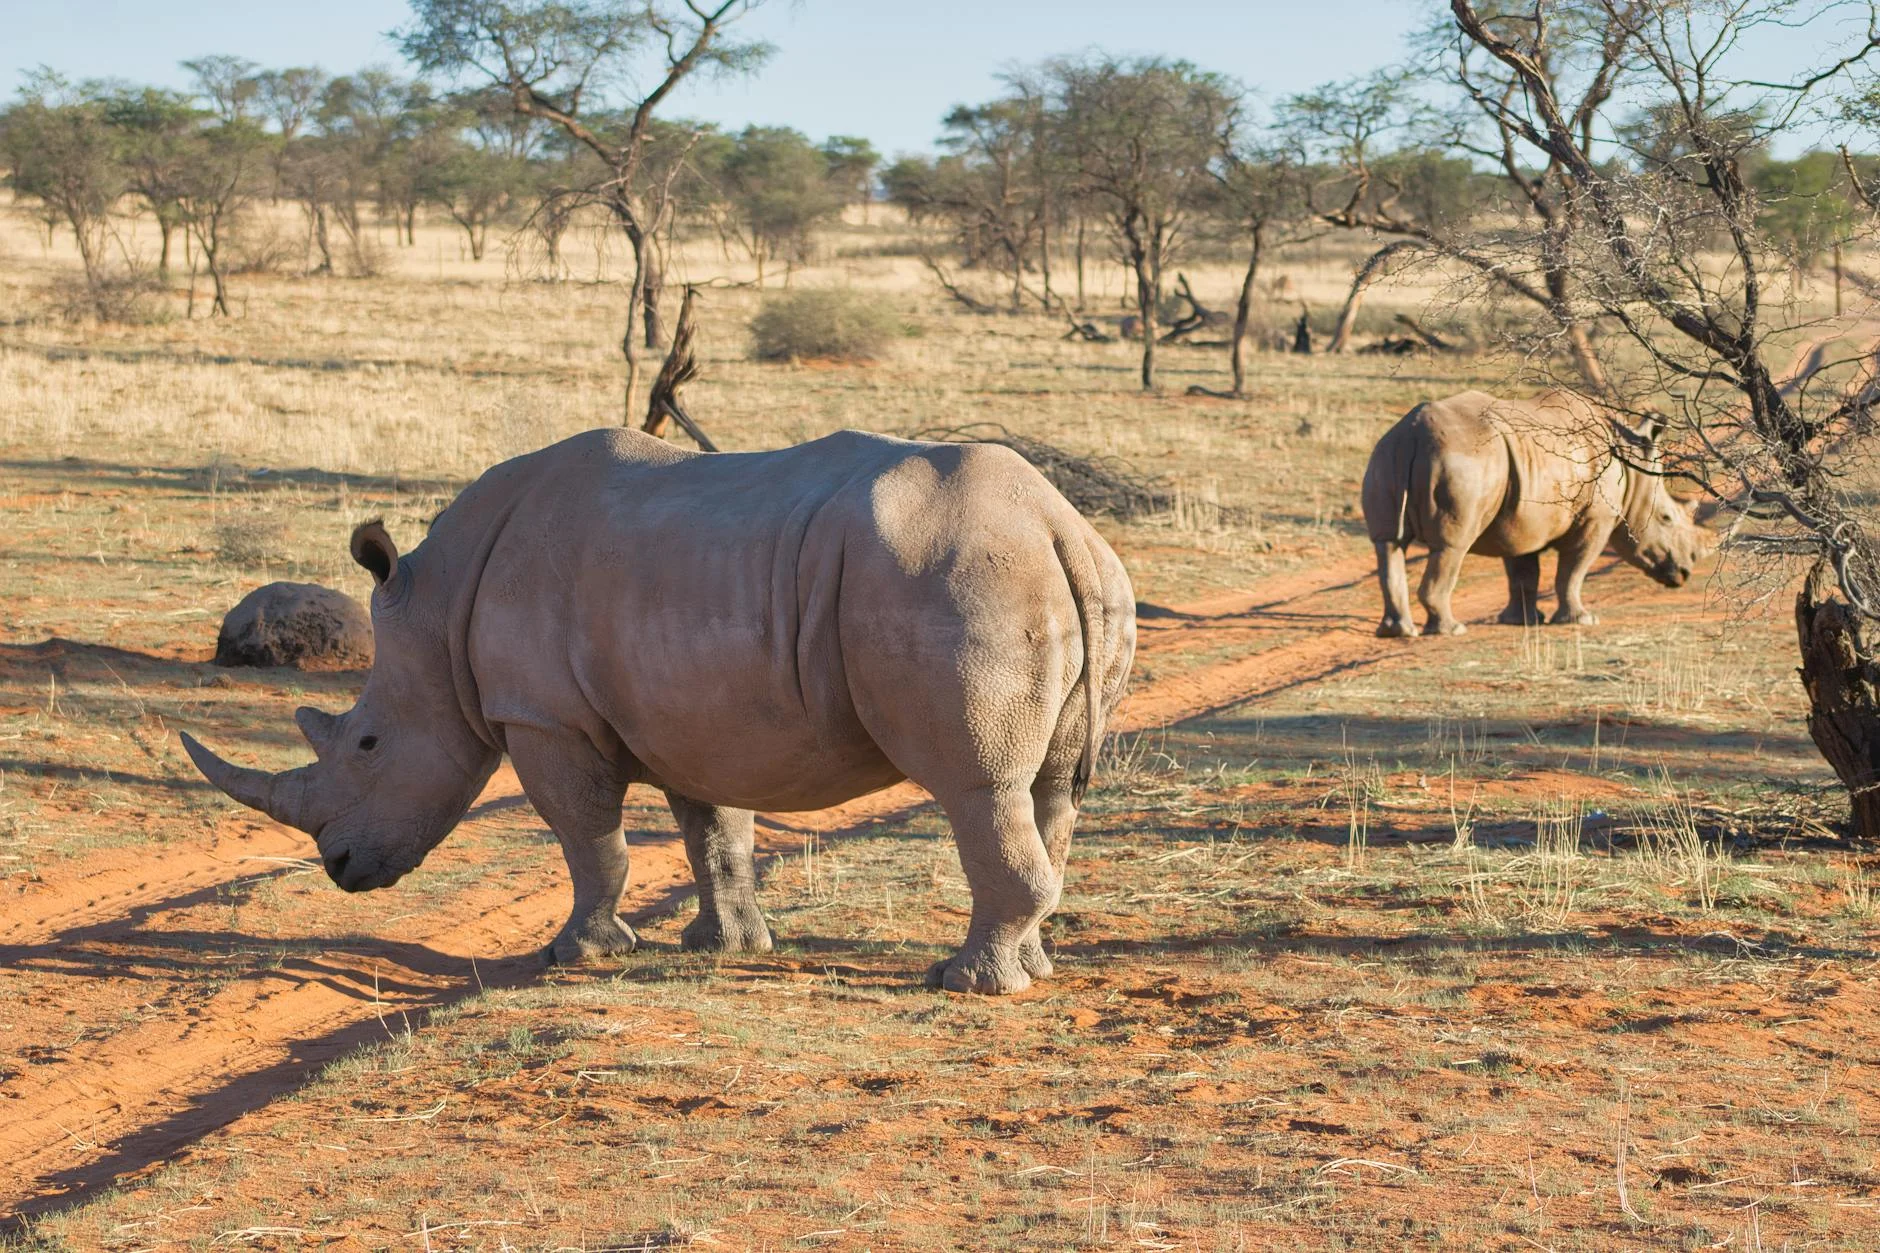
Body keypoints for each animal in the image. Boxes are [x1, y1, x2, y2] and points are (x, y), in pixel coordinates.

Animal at [181, 429, 1136, 995]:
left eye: (369, 743)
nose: (341, 867)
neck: (438, 607)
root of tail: (1057, 524)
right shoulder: (695, 711)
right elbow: (713, 834)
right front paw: (722, 947)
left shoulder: (544, 716)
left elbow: (588, 839)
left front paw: (579, 954)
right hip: (1072, 575)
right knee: (1050, 791)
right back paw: (1031, 963)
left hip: (960, 580)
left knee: (978, 787)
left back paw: (966, 982)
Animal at [1361, 389, 1707, 637]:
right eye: (1666, 518)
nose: (1684, 572)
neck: (1632, 467)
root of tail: (1412, 435)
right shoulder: (1595, 521)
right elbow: (1572, 571)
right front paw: (1582, 620)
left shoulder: (1520, 518)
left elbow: (1523, 572)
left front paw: (1522, 621)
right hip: (1462, 461)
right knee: (1451, 547)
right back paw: (1452, 630)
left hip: (1385, 454)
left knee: (1387, 543)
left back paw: (1397, 632)